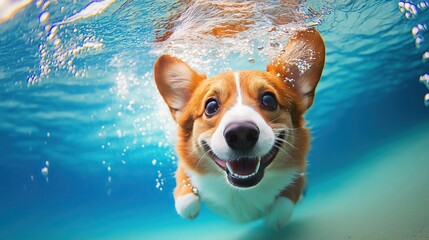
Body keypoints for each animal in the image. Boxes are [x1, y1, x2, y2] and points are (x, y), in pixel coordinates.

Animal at [154, 27, 324, 229]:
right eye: (211, 106)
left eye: (269, 100)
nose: (241, 133)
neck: (241, 192)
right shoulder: (186, 166)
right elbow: (185, 184)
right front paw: (186, 201)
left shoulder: (299, 169)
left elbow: (289, 196)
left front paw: (275, 218)